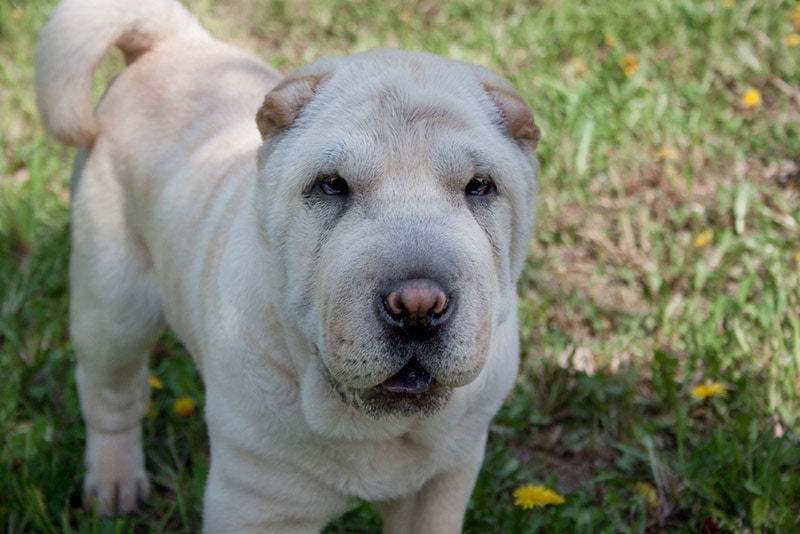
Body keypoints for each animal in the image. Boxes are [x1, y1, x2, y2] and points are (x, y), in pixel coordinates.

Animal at [34, 0, 540, 528]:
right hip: (113, 305)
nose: (418, 305)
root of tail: (170, 44)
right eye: (331, 185)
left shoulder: (443, 482)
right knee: (110, 395)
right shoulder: (256, 505)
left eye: (479, 186)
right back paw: (114, 486)